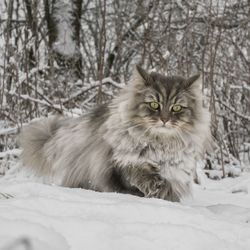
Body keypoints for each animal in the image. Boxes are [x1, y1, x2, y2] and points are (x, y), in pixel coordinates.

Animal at [19, 66, 210, 201]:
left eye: (176, 108)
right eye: (154, 105)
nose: (164, 119)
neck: (159, 145)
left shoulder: (175, 174)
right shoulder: (119, 164)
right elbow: (138, 171)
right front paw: (154, 184)